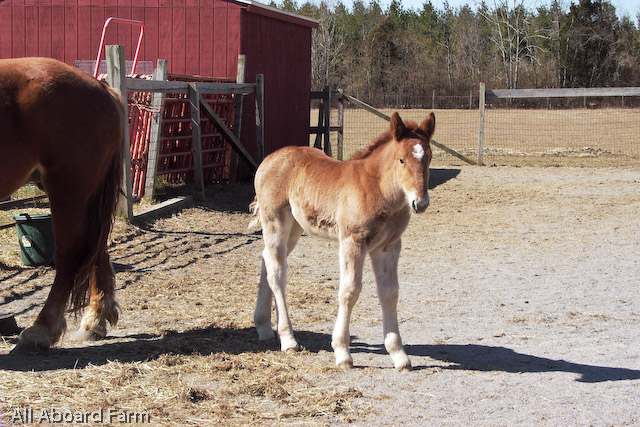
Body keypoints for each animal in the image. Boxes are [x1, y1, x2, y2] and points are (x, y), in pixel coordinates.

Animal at [0, 58, 124, 356]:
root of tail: (101, 88)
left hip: (67, 187)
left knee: (71, 254)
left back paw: (41, 330)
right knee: (96, 247)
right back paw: (96, 319)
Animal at [250, 113, 436, 372]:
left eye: (429, 157)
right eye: (401, 160)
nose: (420, 202)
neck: (379, 189)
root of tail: (268, 159)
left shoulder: (389, 246)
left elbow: (390, 293)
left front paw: (399, 355)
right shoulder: (352, 241)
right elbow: (349, 291)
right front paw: (342, 352)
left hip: (295, 228)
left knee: (266, 260)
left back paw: (264, 327)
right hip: (275, 221)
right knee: (277, 273)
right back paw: (288, 339)